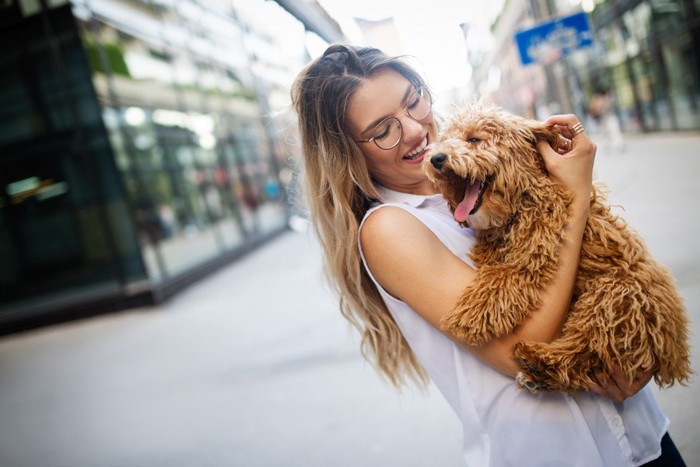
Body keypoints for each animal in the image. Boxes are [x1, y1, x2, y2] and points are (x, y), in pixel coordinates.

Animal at [424, 102, 692, 394]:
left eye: (473, 139)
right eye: (445, 139)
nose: (436, 158)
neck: (519, 203)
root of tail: (674, 351)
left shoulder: (534, 252)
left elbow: (502, 277)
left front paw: (470, 315)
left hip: (617, 293)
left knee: (582, 350)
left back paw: (539, 360)